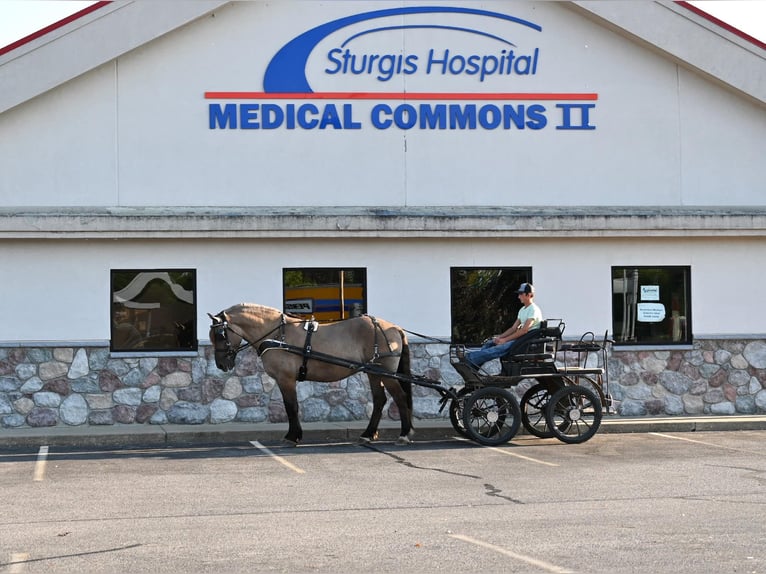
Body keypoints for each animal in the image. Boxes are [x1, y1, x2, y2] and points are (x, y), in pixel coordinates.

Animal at [208, 304, 414, 448]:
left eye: (220, 335)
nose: (221, 364)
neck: (278, 335)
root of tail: (395, 328)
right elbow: (292, 407)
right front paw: (294, 435)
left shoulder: (286, 379)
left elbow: (291, 407)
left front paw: (292, 437)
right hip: (373, 372)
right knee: (379, 400)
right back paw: (367, 434)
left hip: (386, 374)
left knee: (400, 397)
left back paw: (403, 434)